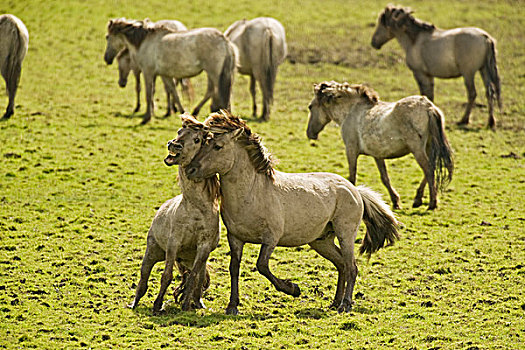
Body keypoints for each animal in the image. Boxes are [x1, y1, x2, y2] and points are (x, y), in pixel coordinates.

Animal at [104, 18, 235, 124]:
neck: (144, 42)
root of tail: (224, 39)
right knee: (212, 91)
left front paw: (147, 118)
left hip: (214, 73)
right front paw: (182, 113)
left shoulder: (148, 73)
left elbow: (149, 94)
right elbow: (174, 92)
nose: (107, 59)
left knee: (216, 91)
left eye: (107, 37)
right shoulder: (165, 75)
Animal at [131, 115, 221, 314]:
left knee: (197, 279)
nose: (174, 145)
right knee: (143, 278)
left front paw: (187, 305)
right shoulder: (173, 244)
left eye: (197, 139)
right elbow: (167, 276)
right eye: (180, 132)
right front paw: (157, 305)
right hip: (153, 252)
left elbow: (194, 278)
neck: (196, 210)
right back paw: (134, 303)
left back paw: (197, 303)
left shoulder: (203, 248)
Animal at [184, 110, 398, 316]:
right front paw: (232, 306)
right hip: (321, 241)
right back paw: (335, 302)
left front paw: (293, 289)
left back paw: (345, 304)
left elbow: (262, 265)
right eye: (203, 143)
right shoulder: (235, 238)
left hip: (345, 234)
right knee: (341, 265)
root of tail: (355, 190)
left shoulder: (271, 238)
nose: (190, 169)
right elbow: (234, 268)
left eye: (218, 146)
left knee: (351, 267)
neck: (253, 192)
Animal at [304, 82, 452, 211]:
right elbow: (385, 178)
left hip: (417, 150)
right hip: (429, 148)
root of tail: (428, 107)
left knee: (429, 170)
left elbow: (352, 176)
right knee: (431, 169)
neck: (352, 111)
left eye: (310, 106)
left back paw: (432, 203)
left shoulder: (351, 150)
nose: (310, 133)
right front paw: (396, 202)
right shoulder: (378, 155)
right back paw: (417, 200)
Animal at [370, 4, 502, 130]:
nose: (373, 43)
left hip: (468, 74)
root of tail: (485, 37)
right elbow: (429, 95)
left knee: (472, 94)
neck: (415, 40)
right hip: (483, 70)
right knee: (490, 93)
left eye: (382, 24)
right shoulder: (429, 76)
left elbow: (425, 94)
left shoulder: (420, 74)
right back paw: (491, 122)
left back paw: (464, 120)